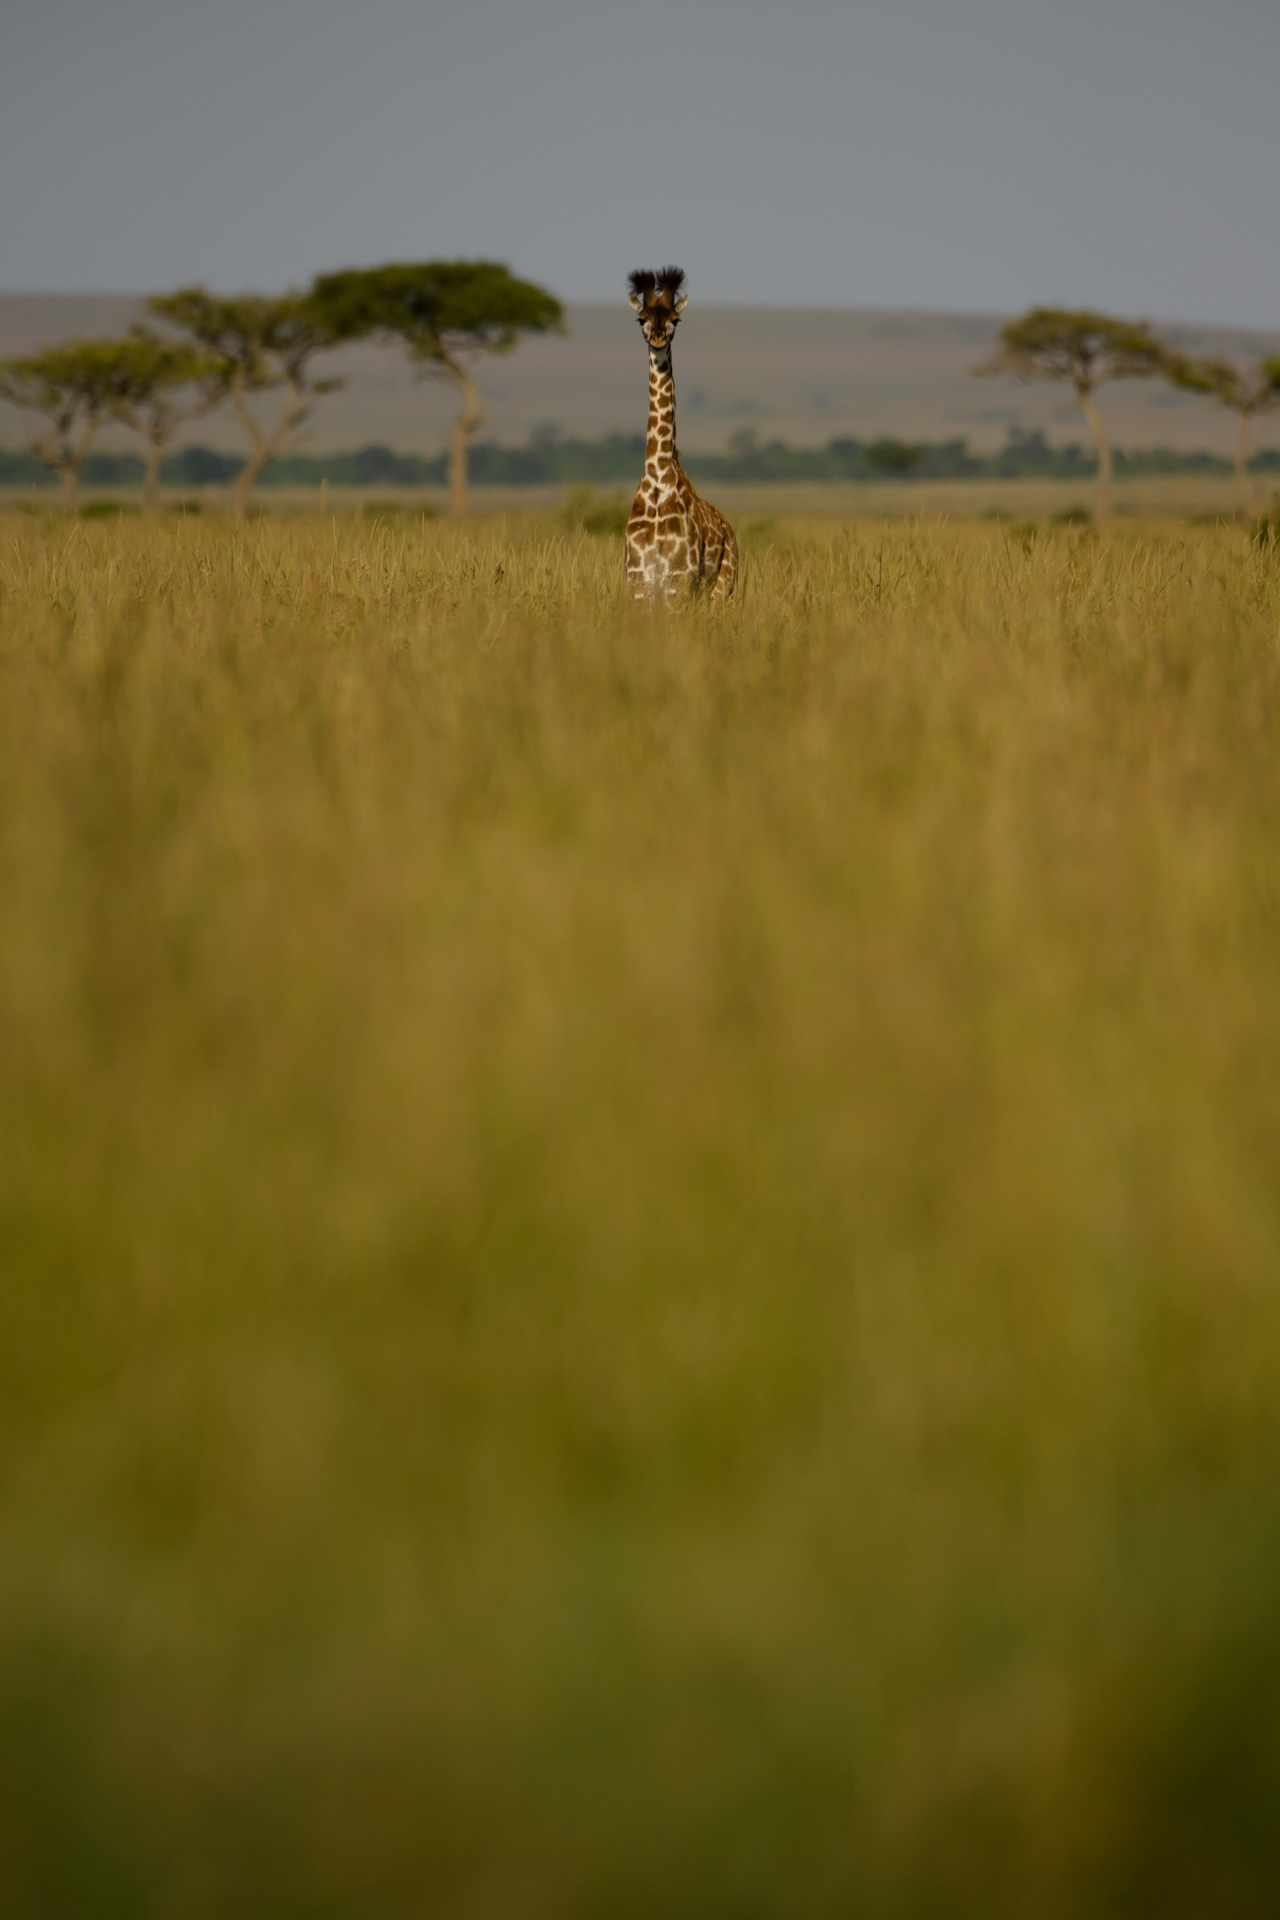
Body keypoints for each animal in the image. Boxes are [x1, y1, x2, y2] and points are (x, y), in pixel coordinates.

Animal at [621, 266, 736, 602]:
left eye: (675, 319)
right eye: (641, 319)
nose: (658, 338)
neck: (659, 480)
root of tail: (730, 529)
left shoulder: (678, 578)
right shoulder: (639, 578)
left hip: (723, 589)